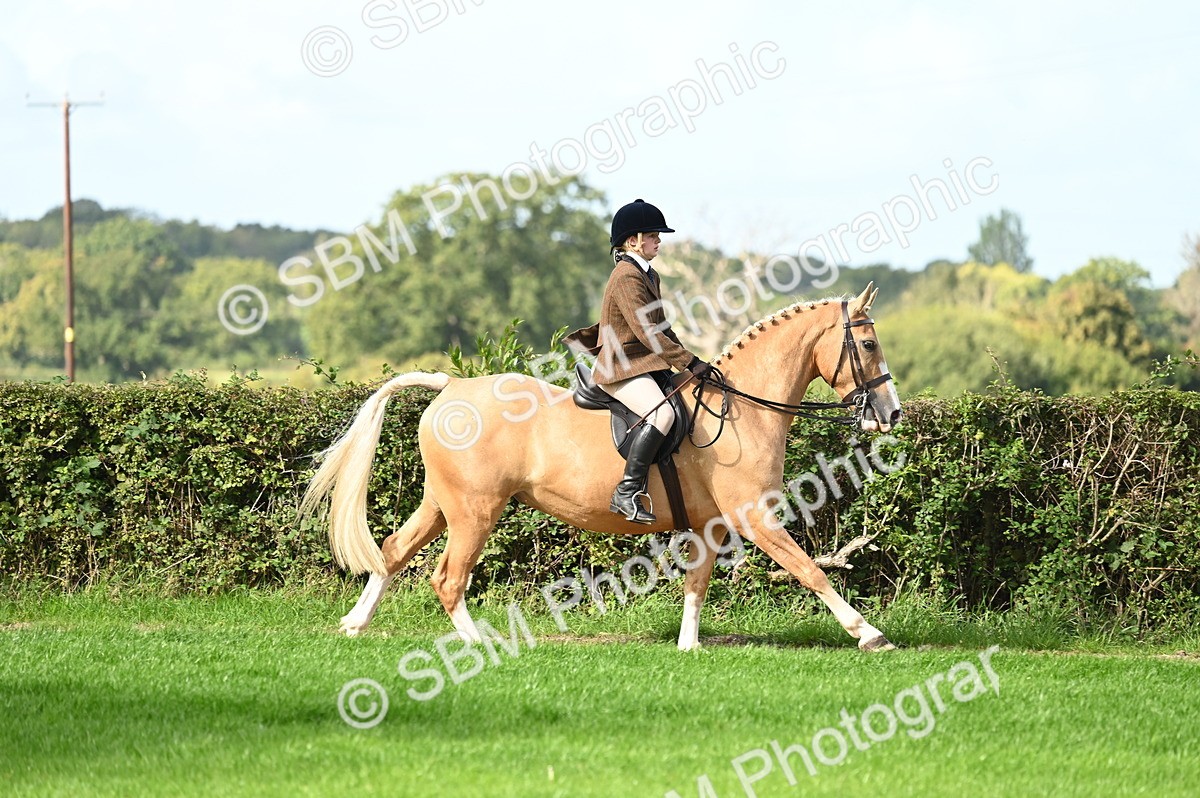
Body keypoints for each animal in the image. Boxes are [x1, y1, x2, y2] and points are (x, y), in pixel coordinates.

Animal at [299, 283, 903, 651]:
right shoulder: (755, 516)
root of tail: (450, 386)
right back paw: (475, 644)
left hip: (443, 503)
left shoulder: (711, 523)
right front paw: (869, 634)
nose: (891, 413)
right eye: (870, 344)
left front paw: (689, 646)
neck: (741, 409)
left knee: (393, 550)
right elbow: (810, 569)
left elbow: (697, 581)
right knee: (448, 577)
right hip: (475, 510)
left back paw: (355, 623)